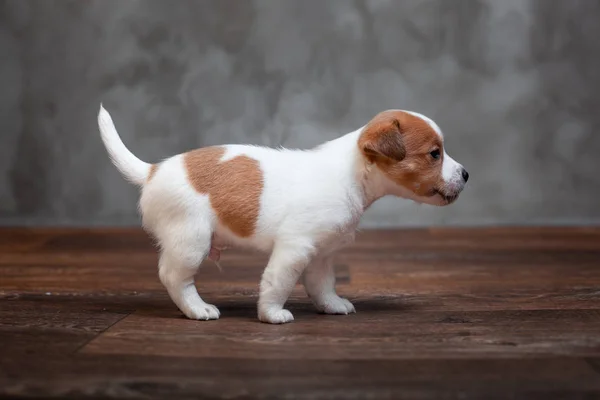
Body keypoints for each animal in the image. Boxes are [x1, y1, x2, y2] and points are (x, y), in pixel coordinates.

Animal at [97, 104, 468, 324]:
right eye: (435, 154)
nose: (466, 174)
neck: (351, 173)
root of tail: (152, 171)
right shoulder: (294, 249)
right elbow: (279, 282)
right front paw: (271, 314)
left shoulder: (321, 255)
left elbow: (322, 284)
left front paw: (331, 305)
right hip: (191, 240)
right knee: (174, 276)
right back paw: (197, 308)